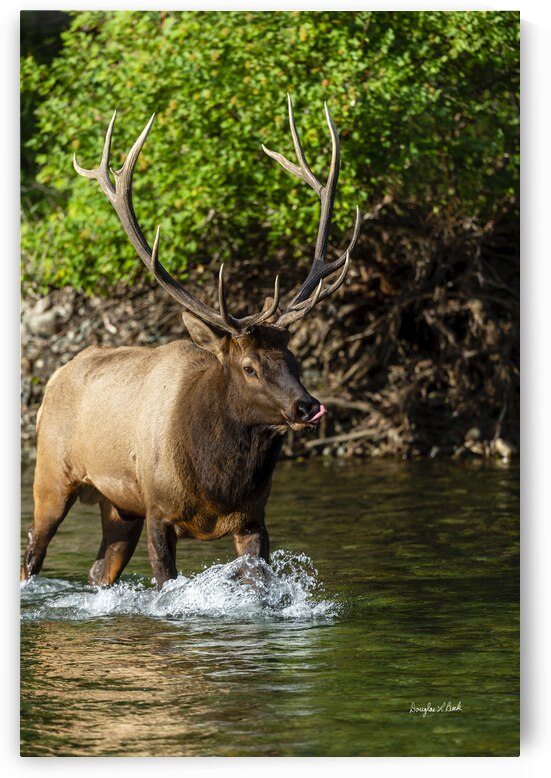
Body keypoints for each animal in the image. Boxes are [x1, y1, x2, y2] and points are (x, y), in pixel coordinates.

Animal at [21, 95, 360, 590]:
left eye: (295, 359)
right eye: (249, 367)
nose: (307, 406)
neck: (217, 483)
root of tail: (55, 376)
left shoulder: (253, 518)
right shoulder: (159, 511)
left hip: (118, 505)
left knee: (100, 568)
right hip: (51, 474)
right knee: (32, 551)